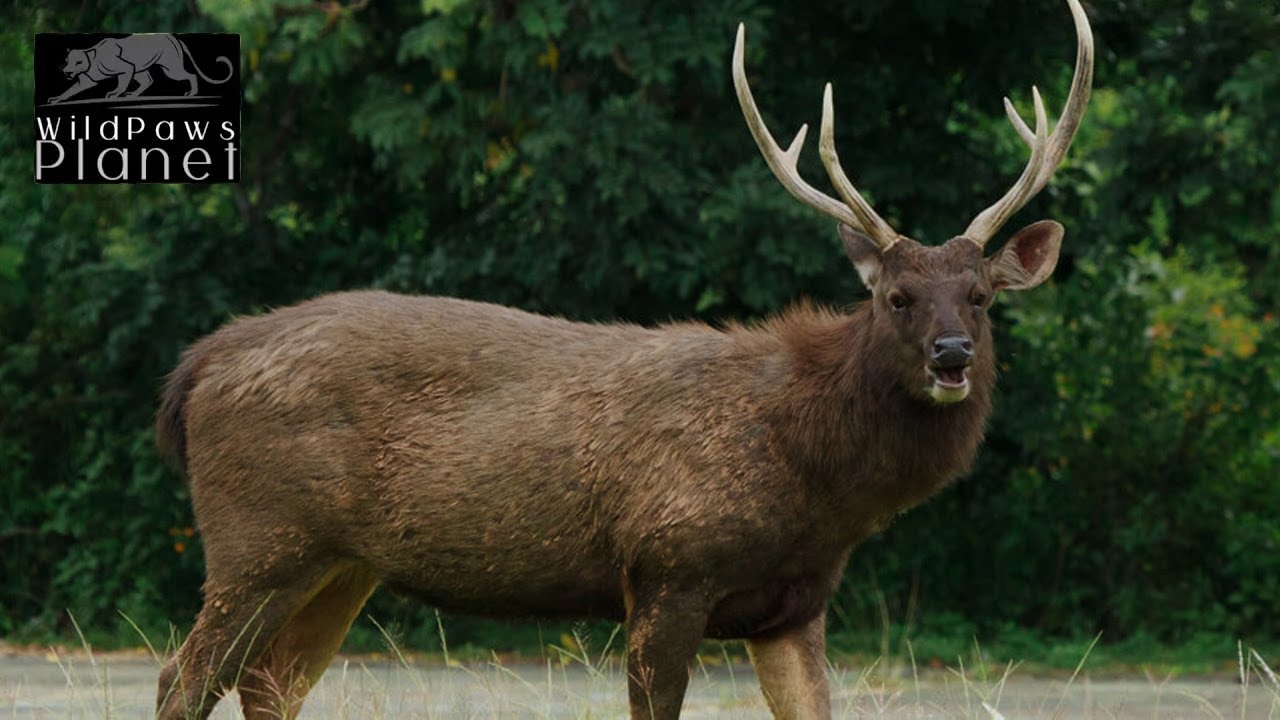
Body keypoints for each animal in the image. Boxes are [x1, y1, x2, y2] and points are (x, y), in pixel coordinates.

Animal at [154, 1, 1092, 717]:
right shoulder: (669, 565)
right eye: (895, 296)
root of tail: (196, 366)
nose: (951, 355)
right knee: (185, 678)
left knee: (268, 684)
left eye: (982, 295)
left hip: (338, 563)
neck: (814, 481)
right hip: (258, 536)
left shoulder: (794, 606)